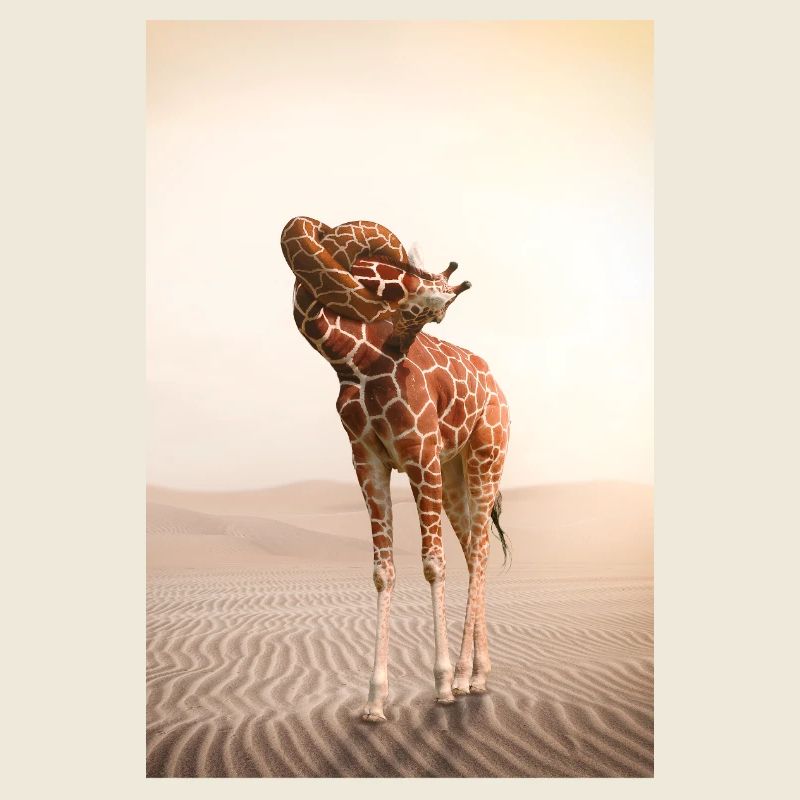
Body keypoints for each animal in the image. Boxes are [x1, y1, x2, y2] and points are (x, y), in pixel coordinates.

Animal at [280, 216, 510, 722]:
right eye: (408, 274)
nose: (453, 291)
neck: (356, 362)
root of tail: (498, 390)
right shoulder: (367, 459)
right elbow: (383, 570)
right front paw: (374, 700)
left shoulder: (421, 453)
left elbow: (433, 564)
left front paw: (441, 685)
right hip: (453, 474)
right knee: (474, 550)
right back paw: (478, 674)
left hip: (486, 457)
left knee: (481, 550)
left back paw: (465, 677)